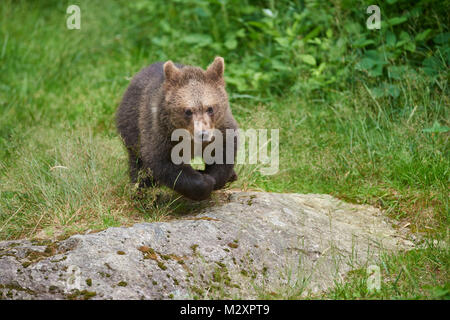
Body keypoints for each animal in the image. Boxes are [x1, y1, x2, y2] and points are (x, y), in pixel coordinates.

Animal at [116, 56, 239, 199]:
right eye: (188, 111)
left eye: (210, 108)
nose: (203, 134)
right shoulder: (161, 133)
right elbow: (166, 164)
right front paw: (205, 182)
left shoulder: (221, 128)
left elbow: (223, 153)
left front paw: (218, 178)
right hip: (132, 127)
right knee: (138, 165)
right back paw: (140, 191)